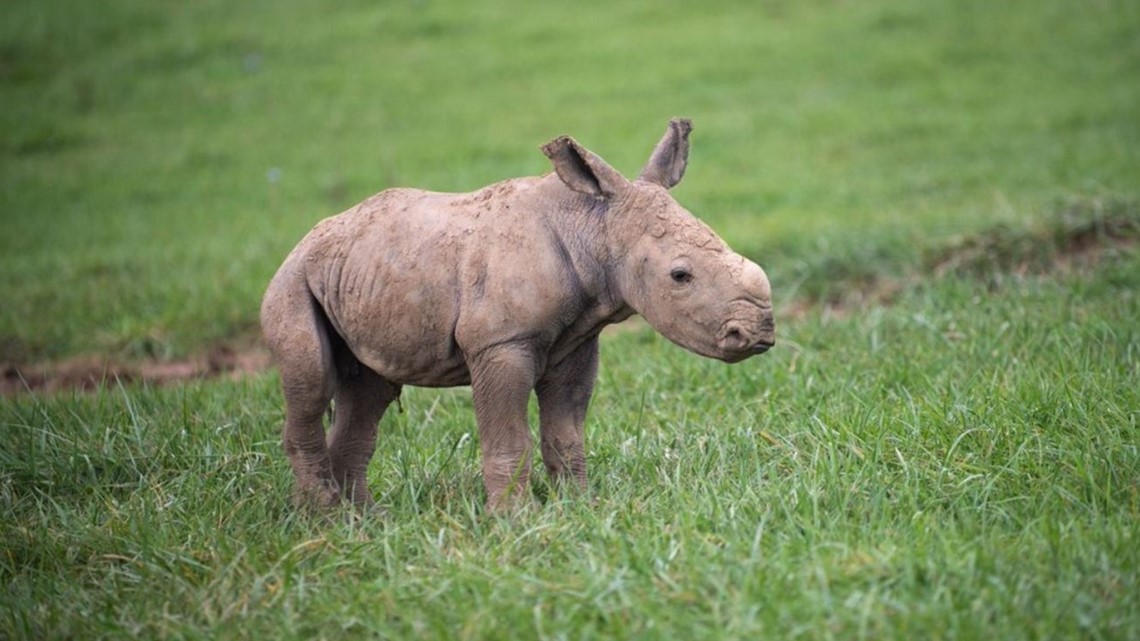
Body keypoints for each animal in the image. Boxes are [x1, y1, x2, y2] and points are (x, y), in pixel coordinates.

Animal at [260, 118, 774, 511]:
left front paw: (581, 508)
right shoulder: (501, 342)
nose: (758, 333)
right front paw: (514, 520)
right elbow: (509, 438)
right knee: (312, 381)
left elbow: (566, 435)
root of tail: (305, 241)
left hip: (357, 273)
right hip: (292, 281)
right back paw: (327, 519)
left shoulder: (577, 340)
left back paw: (362, 520)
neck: (594, 225)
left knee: (370, 391)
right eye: (680, 276)